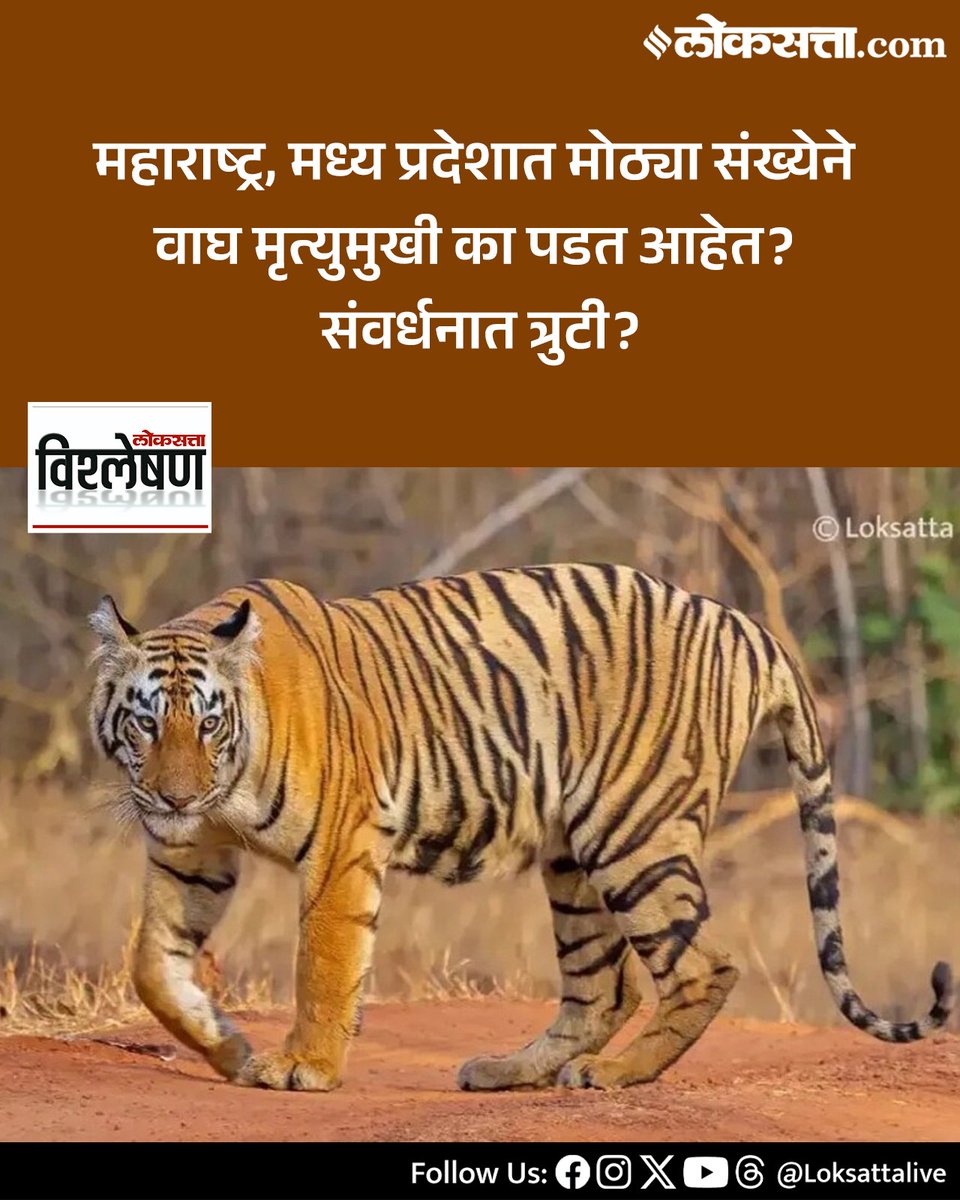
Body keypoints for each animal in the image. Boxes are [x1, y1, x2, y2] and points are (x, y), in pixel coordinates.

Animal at [87, 564, 954, 1092]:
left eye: (207, 722)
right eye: (145, 722)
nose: (172, 797)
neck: (222, 788)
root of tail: (746, 625)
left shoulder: (342, 843)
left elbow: (324, 963)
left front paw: (304, 1067)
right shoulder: (188, 854)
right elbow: (152, 967)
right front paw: (228, 1047)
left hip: (632, 832)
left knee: (702, 967)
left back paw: (615, 1076)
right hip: (573, 857)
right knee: (604, 987)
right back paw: (512, 1071)